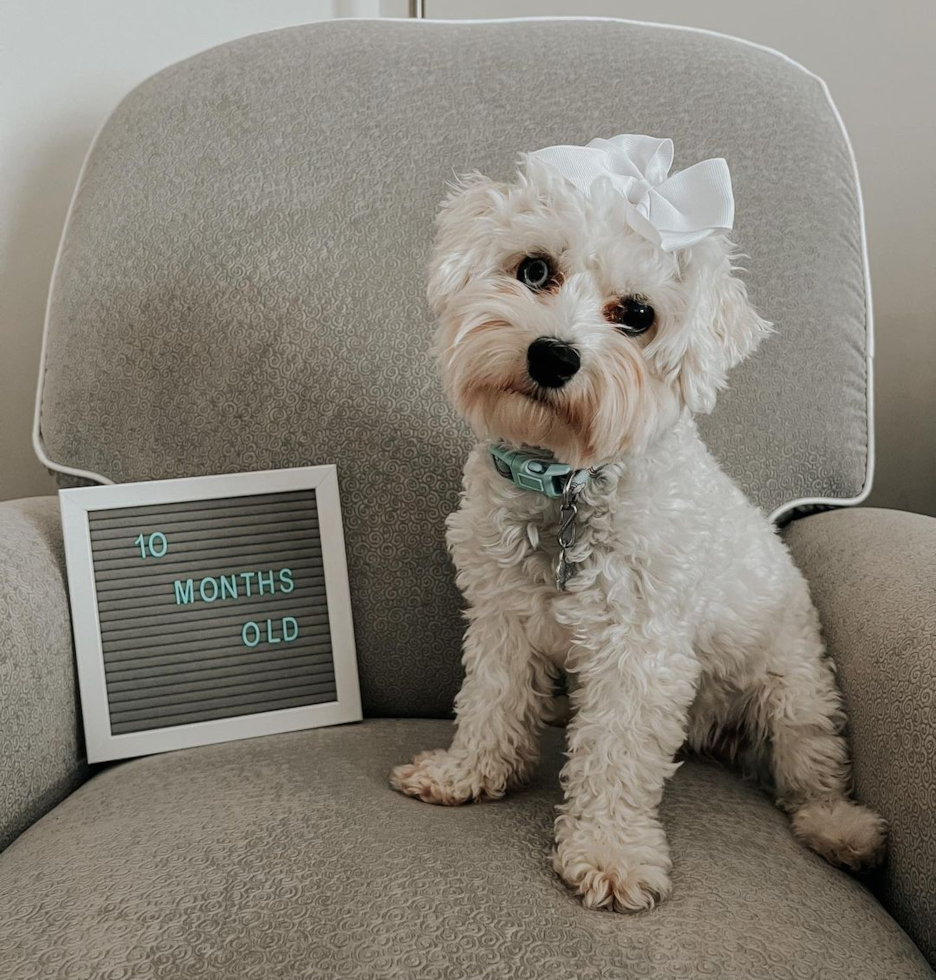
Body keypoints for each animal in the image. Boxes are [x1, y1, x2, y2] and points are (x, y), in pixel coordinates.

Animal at [390, 136, 884, 912]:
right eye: (535, 270)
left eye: (637, 315)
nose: (553, 355)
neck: (569, 480)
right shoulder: (502, 618)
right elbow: (490, 701)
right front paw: (468, 774)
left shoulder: (639, 653)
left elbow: (615, 757)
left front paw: (609, 852)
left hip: (796, 690)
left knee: (812, 768)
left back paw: (842, 829)